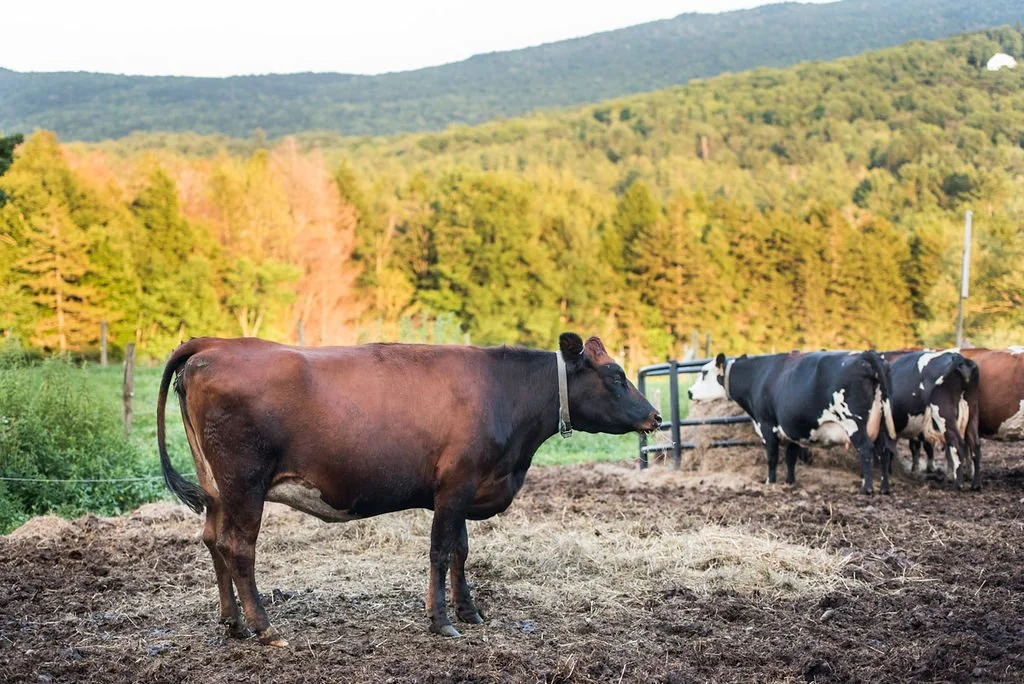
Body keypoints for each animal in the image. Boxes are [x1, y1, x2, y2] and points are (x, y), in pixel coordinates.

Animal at [156, 334, 660, 647]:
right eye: (616, 376)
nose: (655, 416)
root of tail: (217, 344)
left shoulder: (460, 490)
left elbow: (460, 551)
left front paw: (468, 611)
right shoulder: (455, 486)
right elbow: (440, 551)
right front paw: (441, 621)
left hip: (216, 488)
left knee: (212, 540)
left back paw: (233, 623)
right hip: (244, 484)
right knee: (237, 547)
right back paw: (264, 628)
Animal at [687, 351, 896, 494]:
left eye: (704, 373)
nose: (689, 392)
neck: (758, 376)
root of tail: (865, 355)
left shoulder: (767, 425)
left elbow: (772, 457)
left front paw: (770, 482)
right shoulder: (791, 430)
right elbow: (790, 457)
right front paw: (790, 483)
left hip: (853, 422)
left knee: (866, 450)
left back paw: (866, 488)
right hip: (881, 423)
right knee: (884, 452)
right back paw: (884, 487)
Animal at [881, 349, 980, 490]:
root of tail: (960, 358)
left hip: (944, 414)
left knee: (958, 444)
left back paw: (958, 484)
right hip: (972, 411)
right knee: (975, 444)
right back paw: (975, 484)